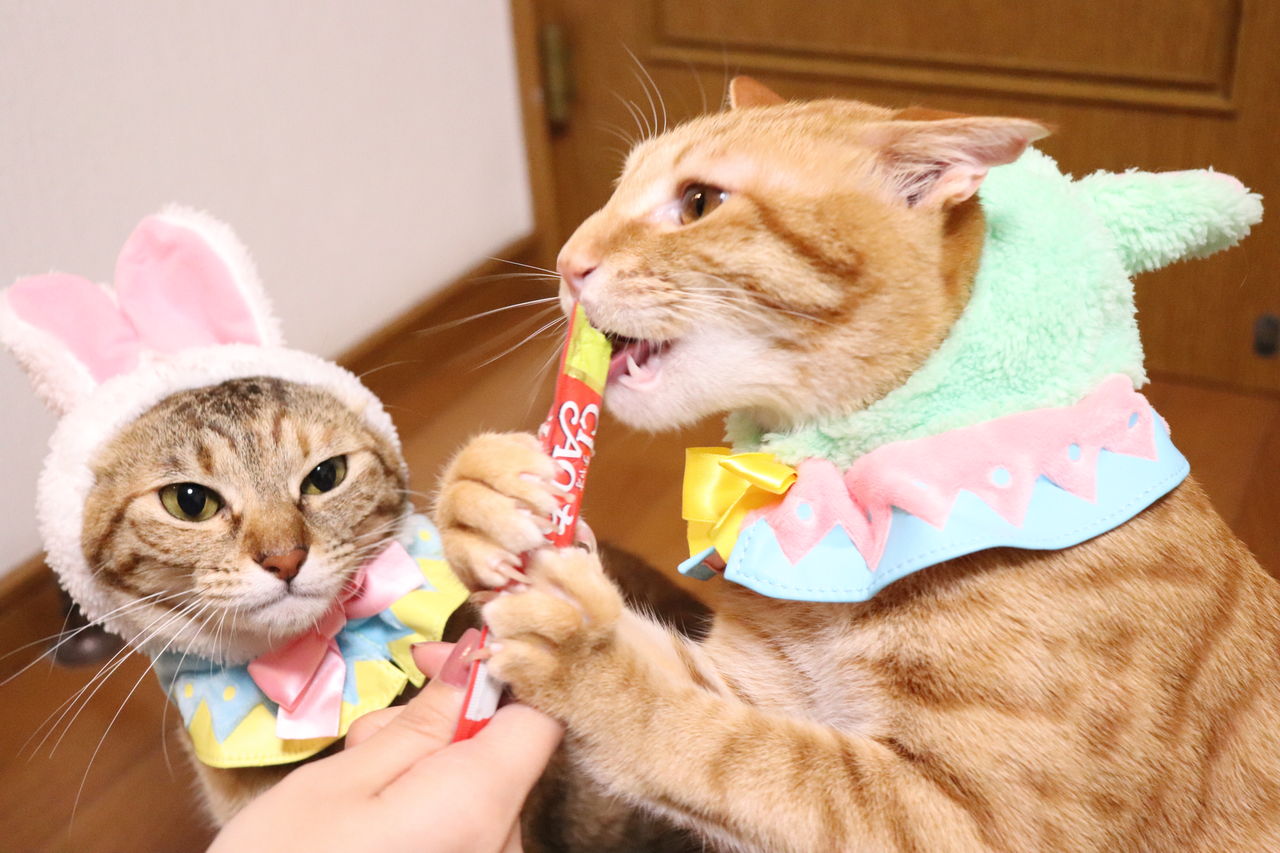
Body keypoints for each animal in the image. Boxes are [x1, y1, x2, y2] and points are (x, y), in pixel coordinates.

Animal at [433, 77, 1280, 852]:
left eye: (700, 201)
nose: (566, 262)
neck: (834, 477)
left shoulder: (976, 821)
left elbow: (729, 749)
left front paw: (587, 657)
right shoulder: (753, 682)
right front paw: (483, 493)